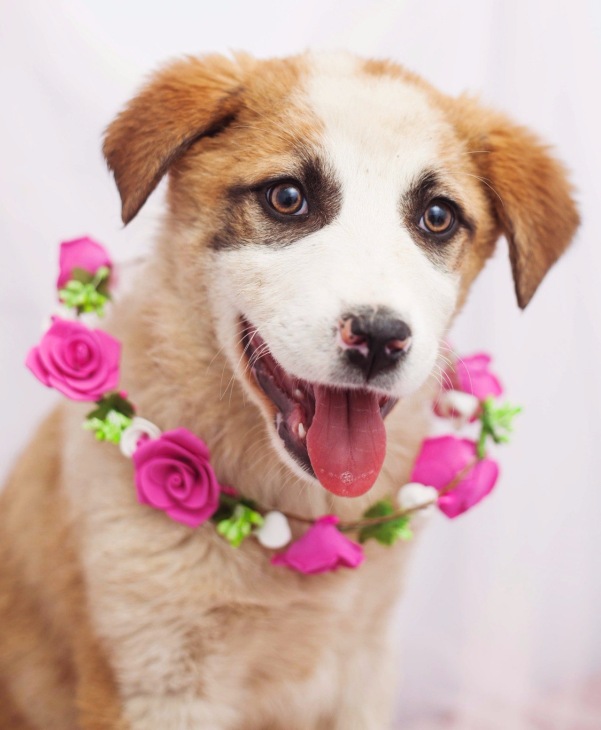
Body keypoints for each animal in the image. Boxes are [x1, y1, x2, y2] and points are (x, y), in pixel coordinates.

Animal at [0, 51, 578, 729]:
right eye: (287, 198)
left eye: (437, 217)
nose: (379, 337)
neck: (295, 513)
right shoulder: (155, 681)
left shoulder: (361, 668)